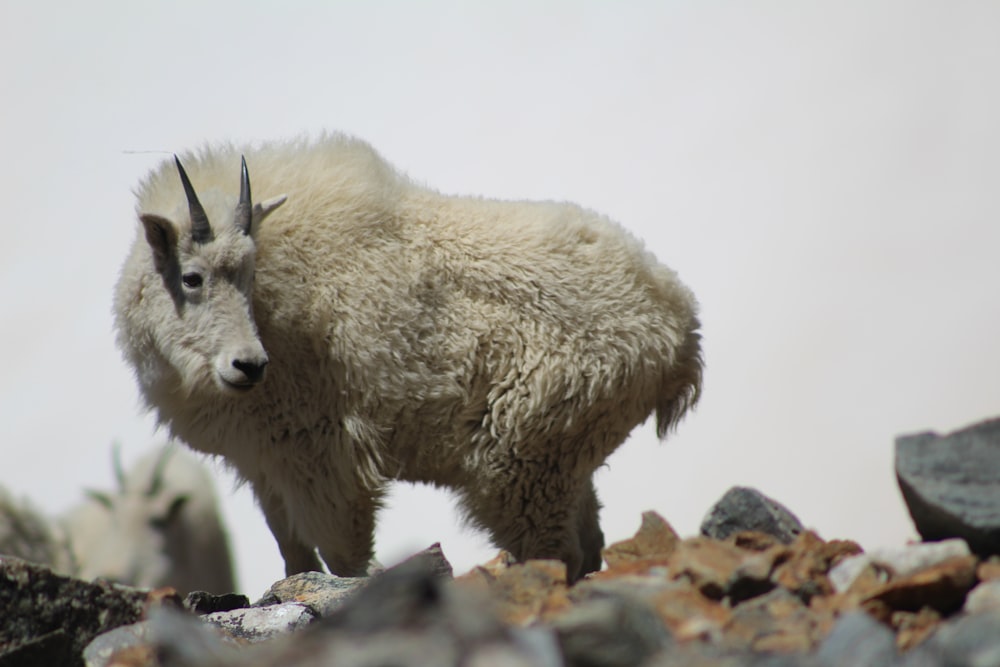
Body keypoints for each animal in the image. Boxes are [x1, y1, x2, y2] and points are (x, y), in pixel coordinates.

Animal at [113, 133, 700, 580]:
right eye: (192, 278)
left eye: (250, 274)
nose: (249, 366)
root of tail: (679, 322)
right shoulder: (265, 466)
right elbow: (295, 558)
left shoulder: (324, 457)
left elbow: (344, 562)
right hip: (568, 452)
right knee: (589, 542)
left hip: (525, 456)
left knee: (557, 553)